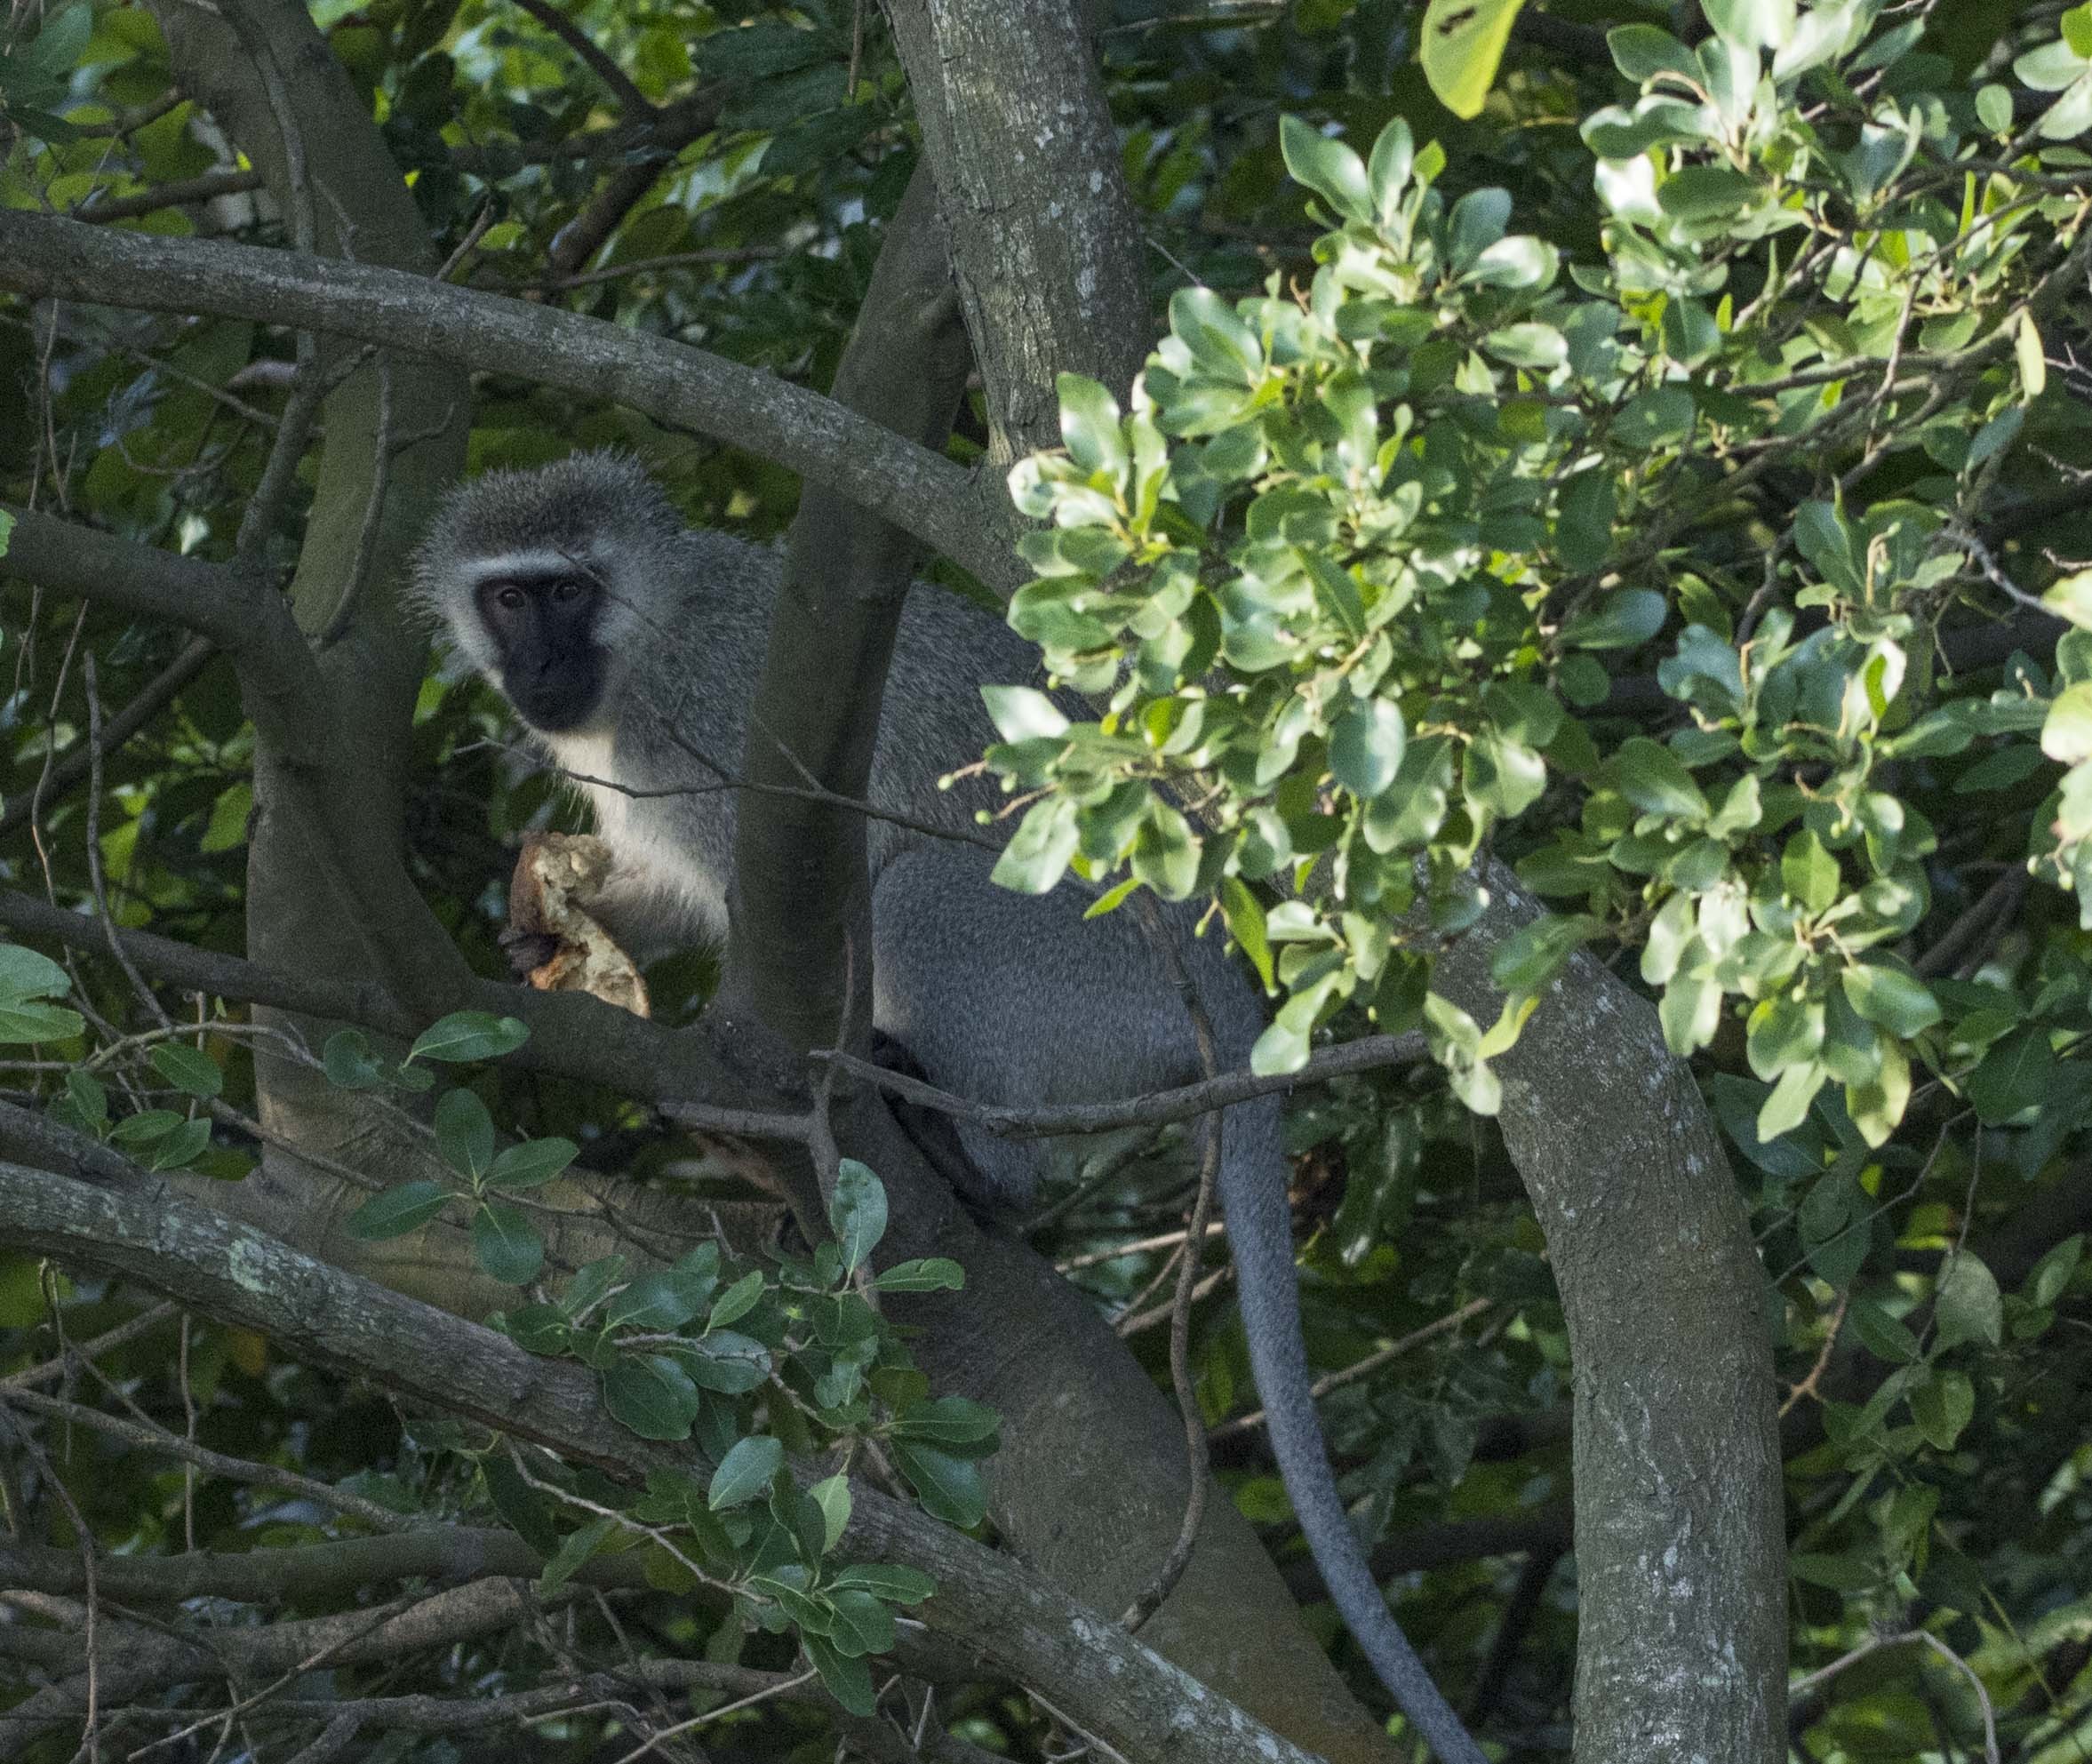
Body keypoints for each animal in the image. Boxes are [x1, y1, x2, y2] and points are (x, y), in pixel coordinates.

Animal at [411, 447, 1489, 1757]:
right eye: (509, 598)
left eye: (568, 591)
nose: (536, 670)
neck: (653, 636)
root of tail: (1231, 998)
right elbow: (660, 891)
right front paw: (553, 925)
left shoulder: (715, 730)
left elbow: (789, 917)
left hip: (1076, 966)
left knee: (921, 890)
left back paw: (969, 1163)